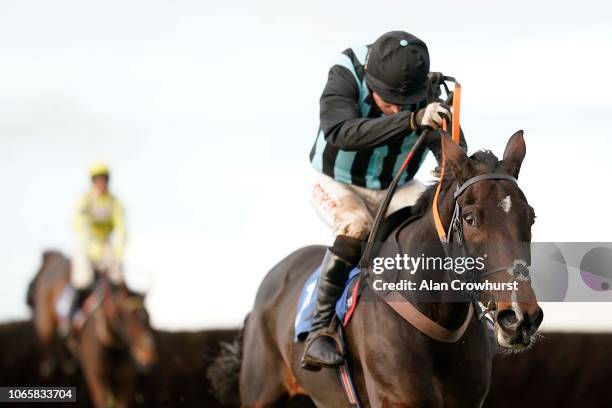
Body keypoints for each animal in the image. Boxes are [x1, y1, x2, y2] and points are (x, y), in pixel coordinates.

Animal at [28, 250, 158, 406]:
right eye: (129, 317)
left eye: (148, 316)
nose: (148, 355)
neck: (110, 344)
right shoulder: (96, 379)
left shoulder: (126, 381)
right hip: (45, 323)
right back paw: (49, 368)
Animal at [212, 130, 544, 404]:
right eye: (470, 218)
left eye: (531, 217)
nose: (520, 317)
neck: (436, 322)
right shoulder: (395, 399)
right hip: (260, 392)